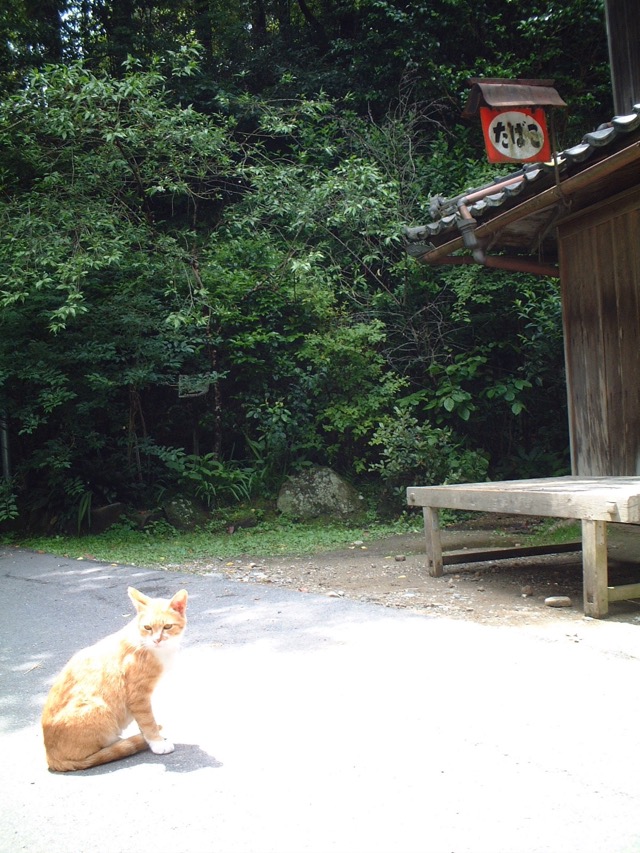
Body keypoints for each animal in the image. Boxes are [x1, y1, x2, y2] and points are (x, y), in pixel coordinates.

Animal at [41, 584, 188, 772]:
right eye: (147, 628)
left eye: (167, 626)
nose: (157, 640)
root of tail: (51, 757)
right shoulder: (138, 697)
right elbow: (148, 721)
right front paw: (156, 742)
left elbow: (143, 723)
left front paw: (148, 738)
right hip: (97, 707)